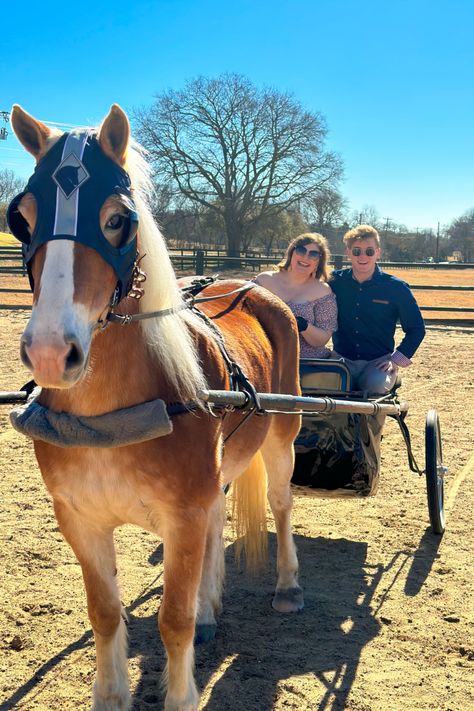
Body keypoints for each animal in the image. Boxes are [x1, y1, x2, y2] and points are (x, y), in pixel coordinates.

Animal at [8, 105, 304, 711]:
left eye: (117, 219)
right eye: (21, 219)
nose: (50, 352)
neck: (107, 417)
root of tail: (248, 284)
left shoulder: (182, 516)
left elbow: (173, 620)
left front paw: (180, 693)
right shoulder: (79, 518)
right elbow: (104, 613)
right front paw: (110, 694)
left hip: (281, 436)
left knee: (282, 504)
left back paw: (287, 585)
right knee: (219, 521)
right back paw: (213, 606)